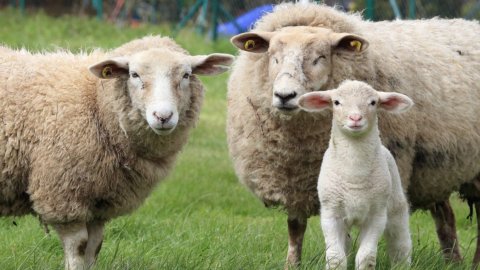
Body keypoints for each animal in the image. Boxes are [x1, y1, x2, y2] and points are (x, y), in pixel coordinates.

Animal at [0, 34, 233, 268]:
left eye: (186, 75)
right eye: (134, 74)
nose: (163, 116)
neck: (96, 101)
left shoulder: (99, 204)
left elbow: (94, 248)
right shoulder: (62, 196)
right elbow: (78, 248)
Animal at [296, 80, 412, 270]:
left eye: (373, 102)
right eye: (336, 102)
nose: (355, 118)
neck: (354, 174)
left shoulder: (376, 216)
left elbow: (366, 258)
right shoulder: (331, 214)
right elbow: (336, 258)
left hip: (395, 205)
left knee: (400, 242)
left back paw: (402, 263)